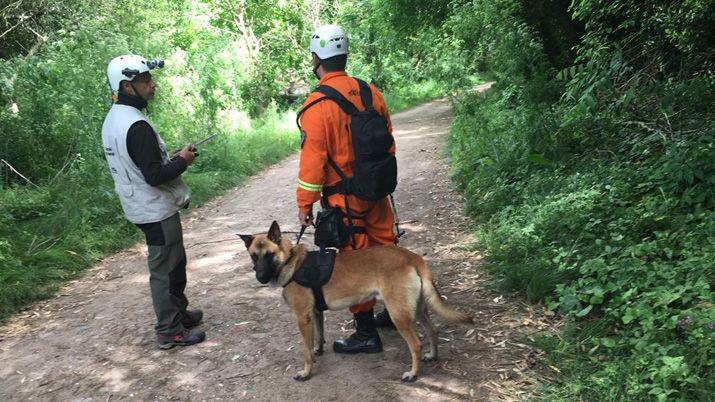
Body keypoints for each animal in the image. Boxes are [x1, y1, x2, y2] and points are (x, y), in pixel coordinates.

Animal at [241, 221, 476, 382]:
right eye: (254, 256)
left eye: (269, 255)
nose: (260, 277)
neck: (291, 261)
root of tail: (412, 257)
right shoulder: (315, 313)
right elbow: (318, 337)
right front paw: (319, 351)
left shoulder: (302, 317)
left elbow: (305, 350)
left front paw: (306, 371)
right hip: (417, 310)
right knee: (433, 330)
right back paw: (432, 356)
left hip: (398, 314)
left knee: (416, 344)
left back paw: (412, 374)